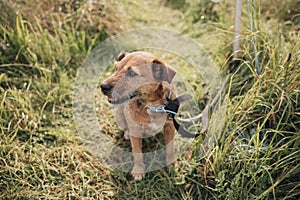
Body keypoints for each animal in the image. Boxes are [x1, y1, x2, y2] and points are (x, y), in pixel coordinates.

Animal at [101, 51, 176, 180]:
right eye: (115, 68)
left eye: (132, 73)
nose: (103, 86)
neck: (152, 105)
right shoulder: (135, 131)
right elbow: (137, 153)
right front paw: (138, 171)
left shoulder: (170, 127)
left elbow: (170, 149)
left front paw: (170, 165)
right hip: (119, 114)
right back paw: (127, 134)